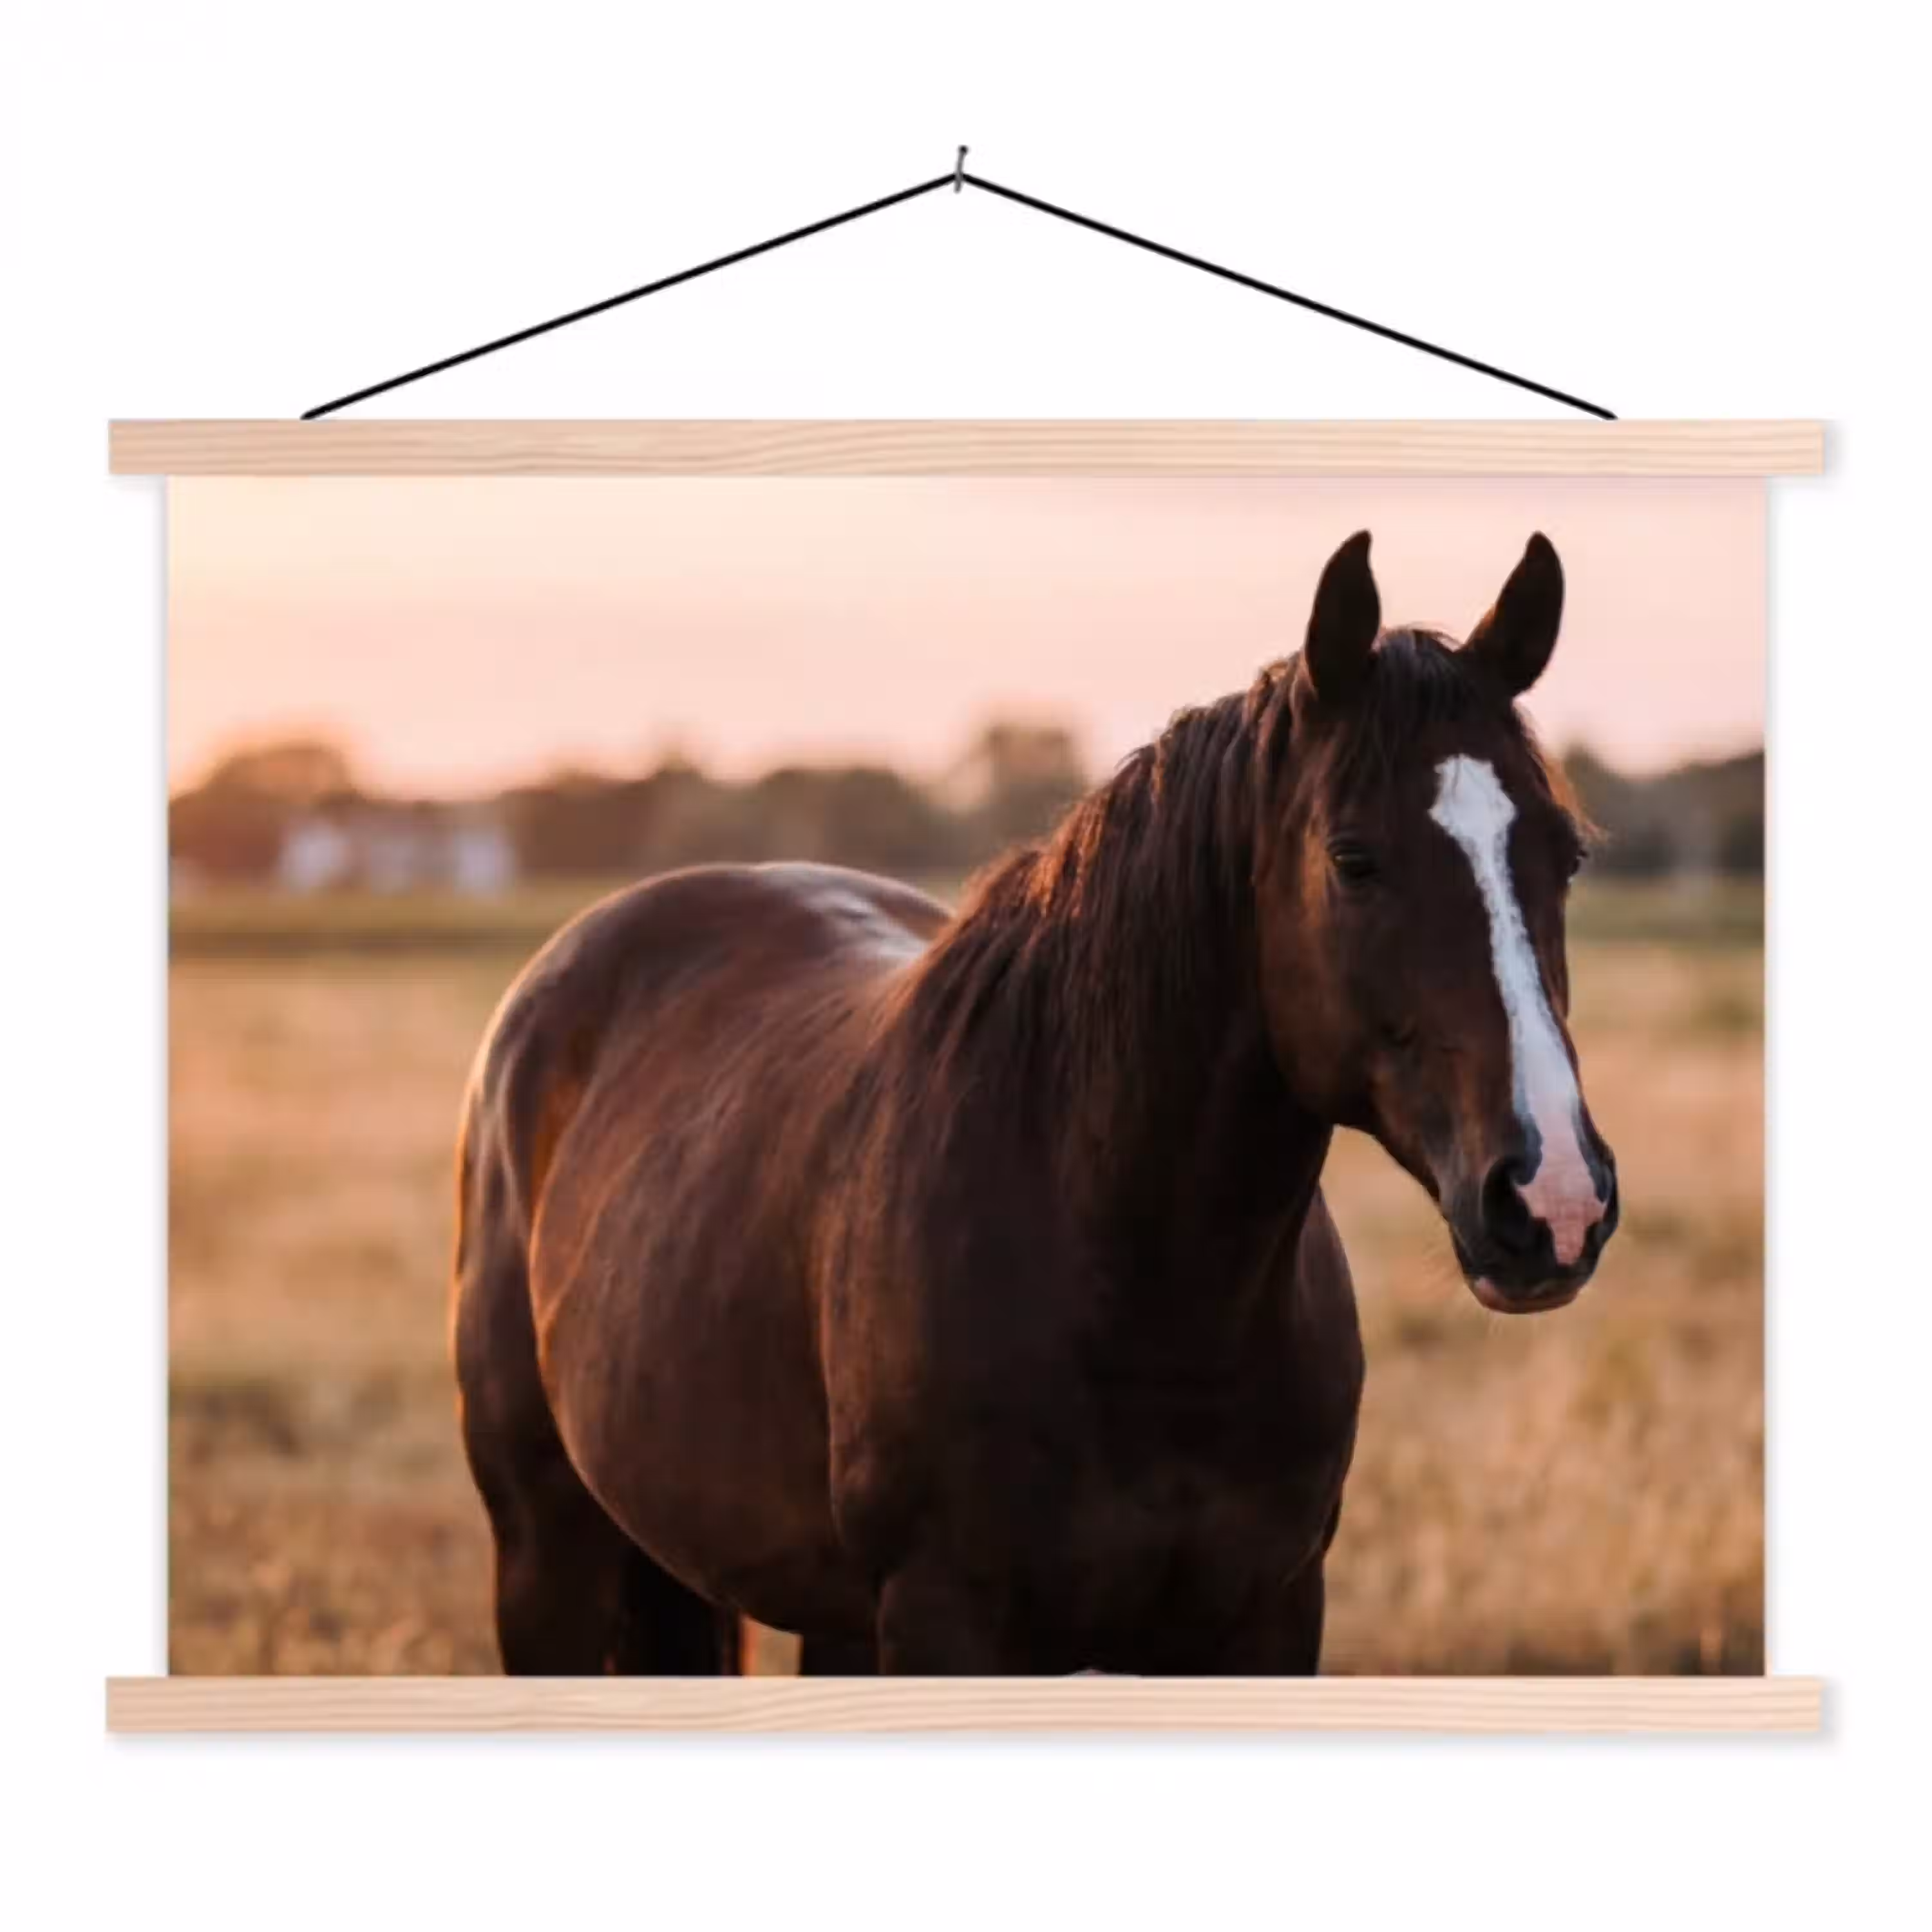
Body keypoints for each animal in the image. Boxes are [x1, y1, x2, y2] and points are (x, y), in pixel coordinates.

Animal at [452, 529, 1619, 1676]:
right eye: (1354, 859)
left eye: (1566, 854)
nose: (1553, 1200)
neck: (1143, 1303)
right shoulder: (945, 1621)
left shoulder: (1268, 1617)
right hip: (546, 1557)